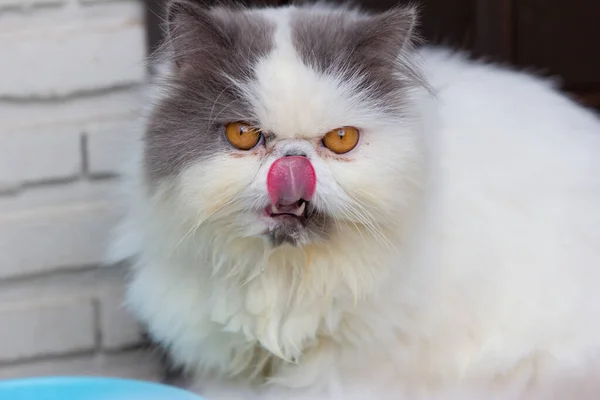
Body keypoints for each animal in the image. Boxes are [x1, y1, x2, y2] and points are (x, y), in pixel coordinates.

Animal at [108, 1, 600, 398]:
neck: (289, 282)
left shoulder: (355, 371)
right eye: (243, 135)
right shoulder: (225, 369)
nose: (292, 167)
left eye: (340, 139)